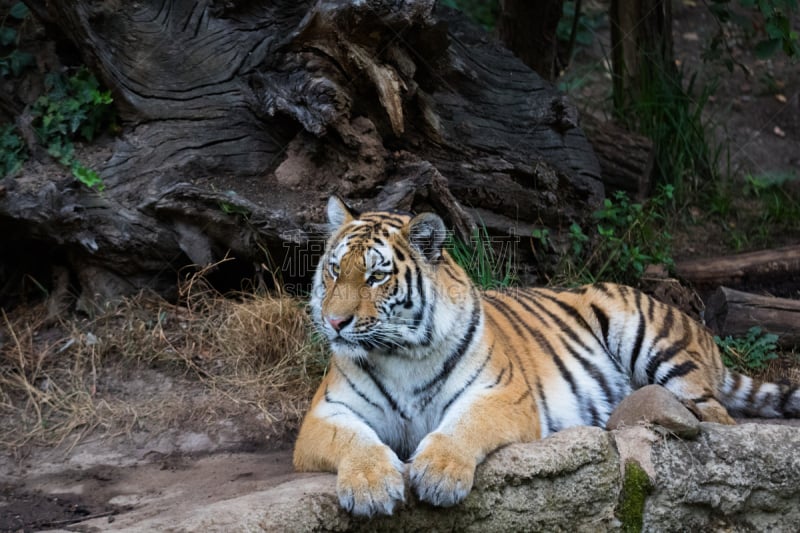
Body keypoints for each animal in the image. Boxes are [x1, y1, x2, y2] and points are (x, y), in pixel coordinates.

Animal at [294, 195, 800, 516]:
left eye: (376, 277)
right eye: (334, 270)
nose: (334, 322)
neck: (401, 355)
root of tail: (700, 329)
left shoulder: (502, 396)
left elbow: (462, 425)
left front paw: (438, 474)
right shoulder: (325, 413)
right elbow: (354, 440)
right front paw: (371, 487)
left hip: (646, 334)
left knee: (718, 421)